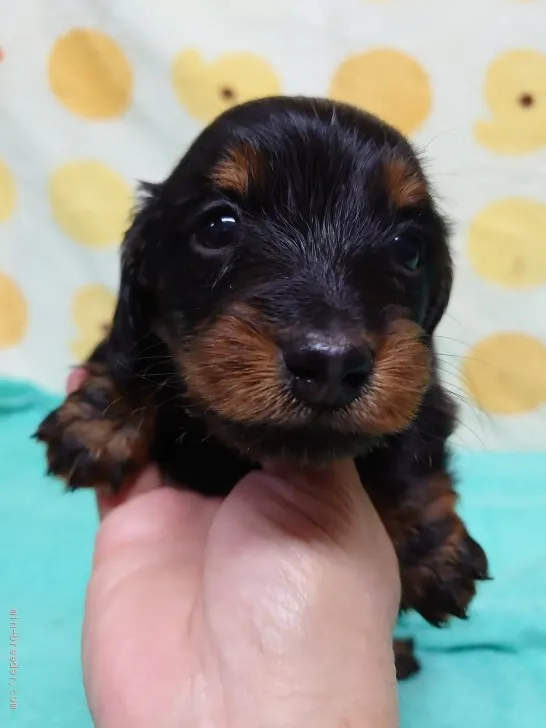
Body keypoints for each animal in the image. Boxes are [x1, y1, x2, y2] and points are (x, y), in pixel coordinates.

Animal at [36, 95, 486, 676]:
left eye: (408, 247)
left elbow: (412, 443)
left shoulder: (422, 379)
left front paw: (433, 553)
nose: (331, 363)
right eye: (218, 226)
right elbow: (132, 350)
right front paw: (99, 419)